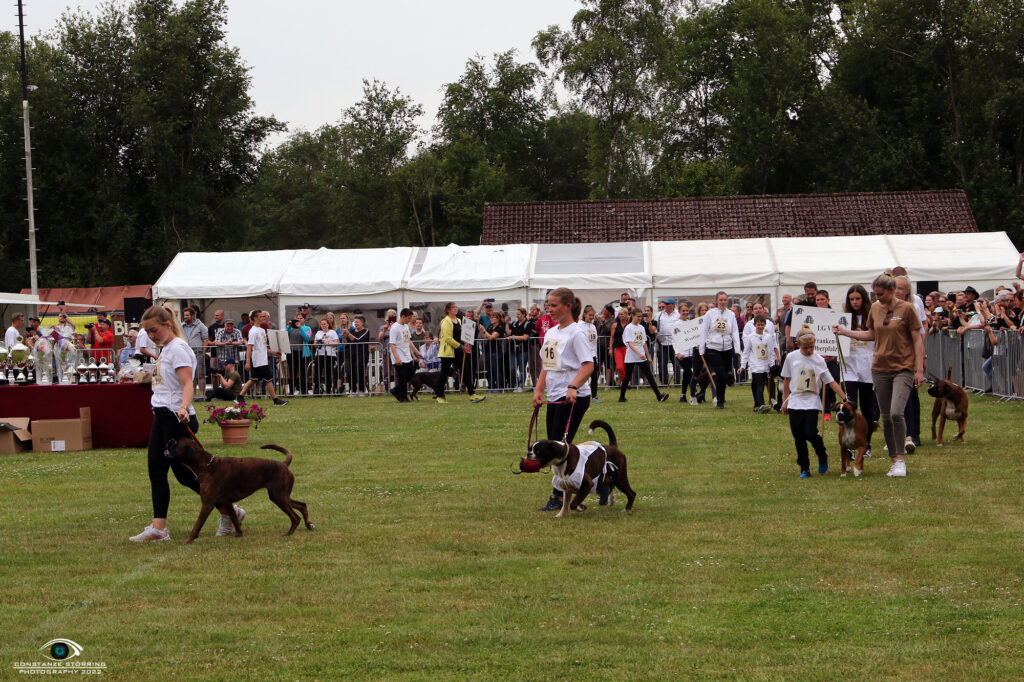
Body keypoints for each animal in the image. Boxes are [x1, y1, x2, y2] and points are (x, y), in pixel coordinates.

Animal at [163, 438, 313, 544]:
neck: (206, 465)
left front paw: (188, 540)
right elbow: (234, 518)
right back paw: (308, 525)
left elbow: (197, 524)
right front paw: (239, 534)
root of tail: (283, 464)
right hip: (280, 496)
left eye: (175, 443)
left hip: (279, 497)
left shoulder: (207, 504)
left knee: (295, 517)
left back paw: (289, 533)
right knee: (302, 505)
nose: (169, 440)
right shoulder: (226, 502)